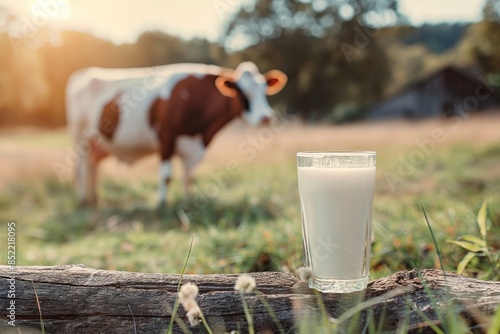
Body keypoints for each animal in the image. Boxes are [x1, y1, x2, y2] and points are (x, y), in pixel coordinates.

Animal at [64, 60, 288, 206]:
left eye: (264, 91)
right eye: (242, 93)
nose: (266, 117)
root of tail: (81, 73)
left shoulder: (190, 144)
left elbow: (188, 176)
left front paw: (188, 200)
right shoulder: (166, 137)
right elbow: (166, 175)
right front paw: (161, 204)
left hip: (96, 144)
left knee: (92, 167)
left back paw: (94, 199)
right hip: (80, 137)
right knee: (81, 169)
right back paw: (83, 200)